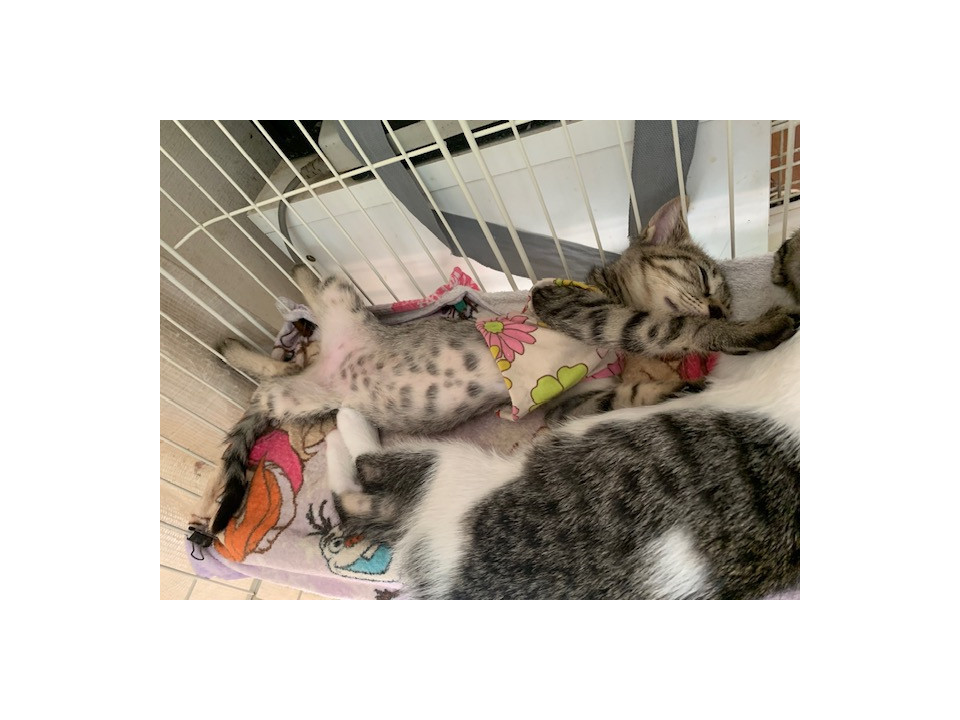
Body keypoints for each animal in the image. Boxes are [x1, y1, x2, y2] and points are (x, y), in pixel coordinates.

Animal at [210, 211, 799, 534]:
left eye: (725, 293)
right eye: (702, 277)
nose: (721, 308)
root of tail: (330, 354)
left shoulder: (571, 399)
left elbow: (624, 396)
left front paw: (676, 385)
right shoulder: (582, 311)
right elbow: (668, 327)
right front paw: (754, 329)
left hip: (300, 396)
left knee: (271, 384)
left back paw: (242, 351)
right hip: (335, 301)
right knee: (302, 282)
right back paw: (276, 267)